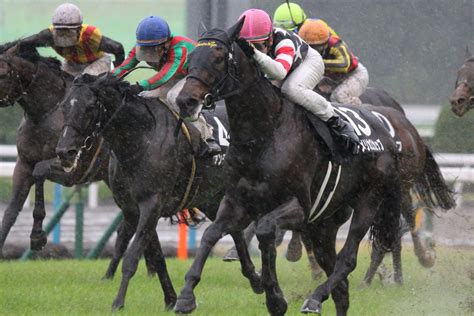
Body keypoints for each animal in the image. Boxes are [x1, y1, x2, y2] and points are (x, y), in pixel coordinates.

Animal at [56, 73, 262, 312]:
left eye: (90, 107)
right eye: (63, 106)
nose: (65, 152)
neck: (139, 138)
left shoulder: (151, 203)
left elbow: (132, 256)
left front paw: (118, 302)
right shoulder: (132, 209)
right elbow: (156, 257)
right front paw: (170, 299)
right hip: (211, 197)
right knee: (234, 230)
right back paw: (254, 278)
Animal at [175, 21, 456, 314]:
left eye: (219, 57)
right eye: (191, 58)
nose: (185, 100)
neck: (264, 134)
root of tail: (389, 131)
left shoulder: (299, 206)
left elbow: (264, 230)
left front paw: (274, 295)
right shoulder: (237, 201)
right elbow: (212, 234)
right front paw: (186, 294)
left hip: (369, 201)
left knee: (349, 259)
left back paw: (316, 297)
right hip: (324, 224)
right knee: (341, 286)